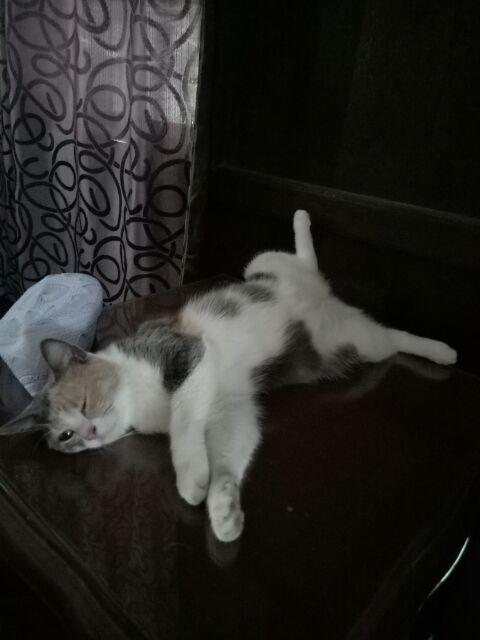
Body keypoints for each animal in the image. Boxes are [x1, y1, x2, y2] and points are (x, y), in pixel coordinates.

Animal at [1, 210, 457, 542]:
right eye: (65, 436)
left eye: (83, 402)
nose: (89, 433)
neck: (137, 396)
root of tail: (320, 294)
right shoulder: (228, 403)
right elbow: (233, 442)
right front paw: (223, 508)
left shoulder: (186, 354)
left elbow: (185, 419)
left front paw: (190, 477)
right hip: (346, 342)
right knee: (385, 336)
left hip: (266, 267)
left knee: (342, 292)